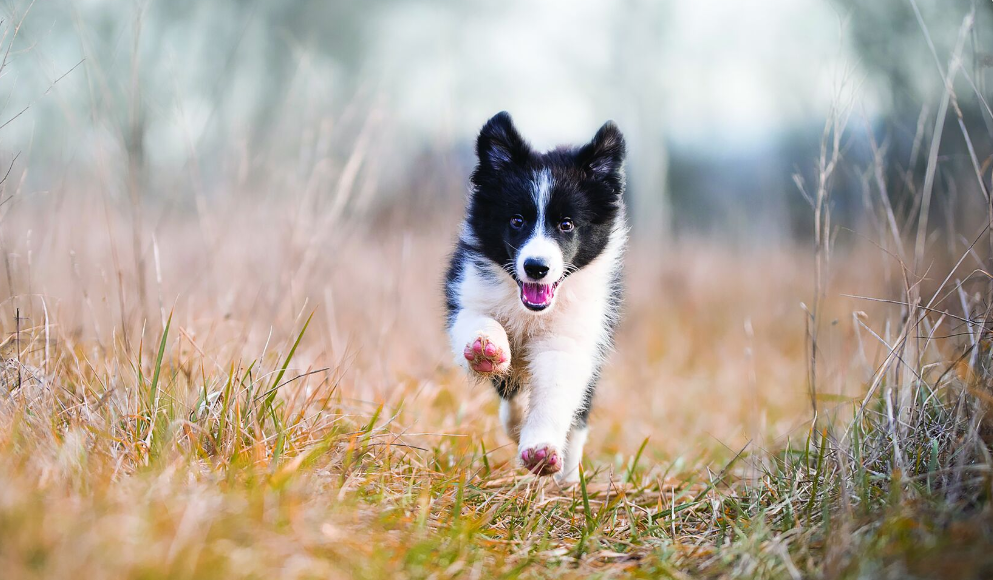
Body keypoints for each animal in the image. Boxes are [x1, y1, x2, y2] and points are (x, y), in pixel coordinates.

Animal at [444, 111, 624, 482]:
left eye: (566, 224)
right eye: (517, 220)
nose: (536, 267)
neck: (531, 310)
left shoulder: (571, 336)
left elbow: (556, 389)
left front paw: (542, 449)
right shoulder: (468, 290)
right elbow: (476, 319)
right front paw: (485, 347)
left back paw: (567, 474)